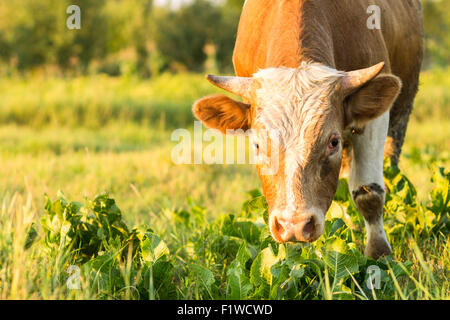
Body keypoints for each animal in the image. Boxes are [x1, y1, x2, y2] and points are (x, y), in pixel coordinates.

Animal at [192, 0, 422, 258]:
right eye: (258, 145)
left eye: (332, 142)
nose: (295, 225)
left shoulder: (374, 119)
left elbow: (369, 192)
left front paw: (379, 253)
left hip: (402, 106)